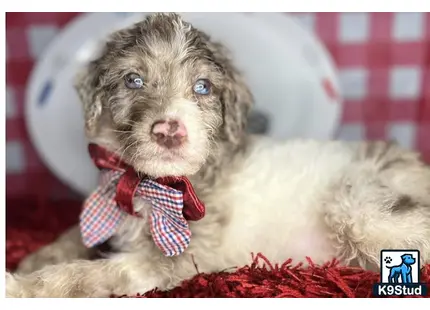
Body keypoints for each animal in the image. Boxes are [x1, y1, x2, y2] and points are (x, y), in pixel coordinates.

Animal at [6, 12, 430, 298]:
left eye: (203, 87)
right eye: (133, 80)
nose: (168, 130)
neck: (146, 184)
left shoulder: (172, 261)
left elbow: (90, 275)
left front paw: (22, 285)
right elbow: (76, 231)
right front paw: (36, 257)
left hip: (358, 206)